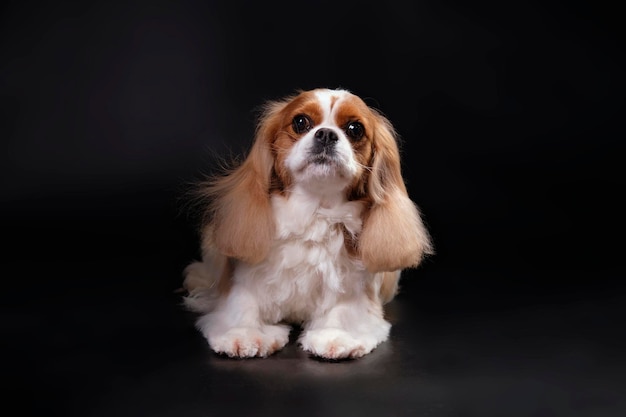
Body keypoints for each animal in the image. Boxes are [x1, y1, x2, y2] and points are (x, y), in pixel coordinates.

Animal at [183, 87, 432, 358]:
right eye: (300, 122)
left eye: (355, 129)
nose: (326, 134)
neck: (314, 211)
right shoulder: (243, 279)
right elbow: (242, 305)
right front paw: (245, 334)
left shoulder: (354, 288)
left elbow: (344, 311)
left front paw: (336, 336)